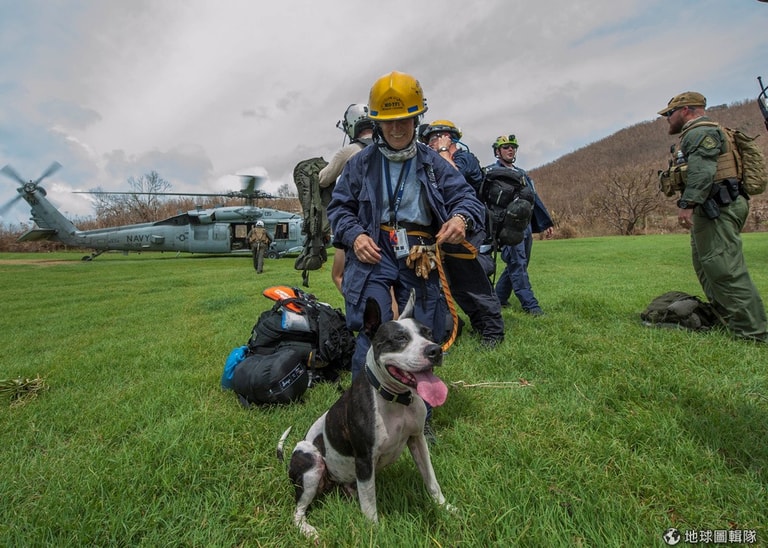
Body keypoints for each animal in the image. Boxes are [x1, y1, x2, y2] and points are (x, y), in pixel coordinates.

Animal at [280, 292, 452, 540]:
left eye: (428, 333)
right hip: (311, 462)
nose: (435, 350)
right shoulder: (364, 459)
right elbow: (370, 505)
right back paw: (308, 530)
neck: (394, 399)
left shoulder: (418, 440)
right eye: (399, 338)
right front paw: (375, 533)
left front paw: (445, 507)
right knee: (298, 510)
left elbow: (431, 479)